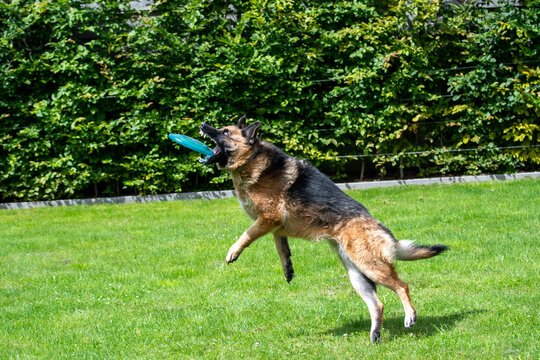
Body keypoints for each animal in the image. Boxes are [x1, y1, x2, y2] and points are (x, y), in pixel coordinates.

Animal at [198, 115, 448, 344]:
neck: (252, 157)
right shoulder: (276, 226)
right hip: (358, 275)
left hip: (371, 266)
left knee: (402, 286)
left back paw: (410, 316)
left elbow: (246, 235)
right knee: (378, 304)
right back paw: (375, 335)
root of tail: (382, 230)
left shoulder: (267, 219)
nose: (202, 125)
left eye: (225, 132)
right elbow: (281, 248)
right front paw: (287, 268)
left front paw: (233, 251)